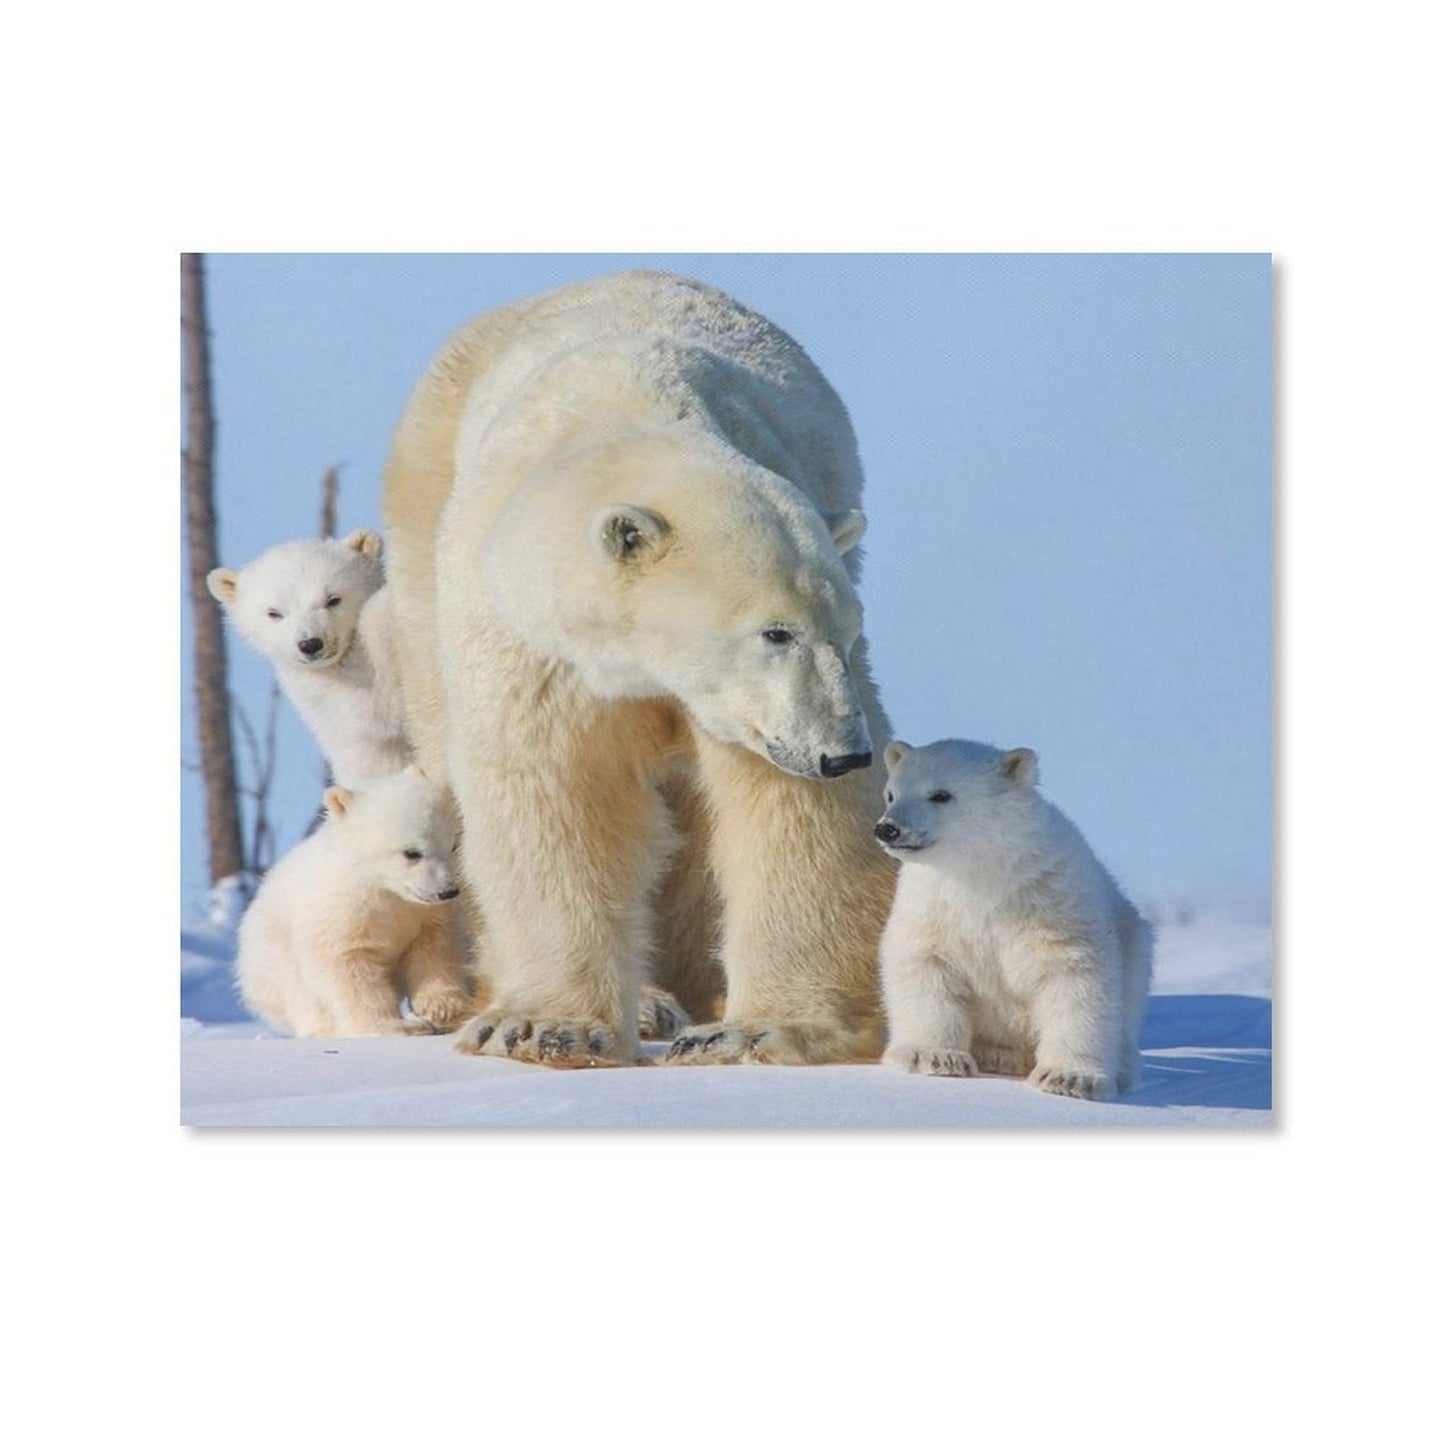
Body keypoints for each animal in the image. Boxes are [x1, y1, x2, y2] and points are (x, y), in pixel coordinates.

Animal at [235, 767, 475, 1037]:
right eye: (412, 852)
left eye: (453, 845)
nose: (448, 891)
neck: (381, 889)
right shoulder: (341, 913)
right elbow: (350, 966)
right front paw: (397, 1025)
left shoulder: (423, 913)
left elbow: (434, 948)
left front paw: (444, 1008)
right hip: (277, 966)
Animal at [381, 269, 898, 1067]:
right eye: (775, 631)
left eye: (847, 634)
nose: (844, 753)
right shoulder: (535, 643)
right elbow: (556, 789)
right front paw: (541, 1027)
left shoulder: (753, 712)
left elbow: (790, 814)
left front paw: (757, 1029)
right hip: (420, 556)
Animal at [873, 739, 1153, 1100]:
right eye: (891, 794)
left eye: (941, 794)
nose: (887, 828)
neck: (983, 875)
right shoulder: (933, 905)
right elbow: (925, 964)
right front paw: (934, 1056)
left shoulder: (1052, 899)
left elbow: (1074, 975)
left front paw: (1068, 1078)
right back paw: (997, 1054)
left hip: (1134, 938)